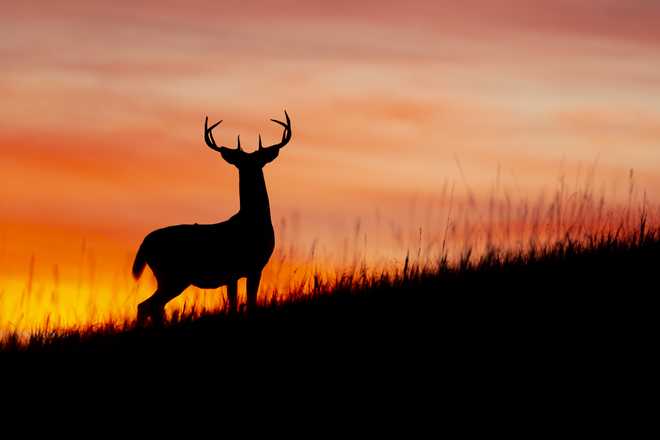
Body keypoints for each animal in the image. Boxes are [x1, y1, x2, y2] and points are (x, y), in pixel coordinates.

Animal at [131, 111, 292, 324]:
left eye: (258, 161)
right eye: (242, 162)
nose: (250, 167)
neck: (252, 221)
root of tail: (144, 243)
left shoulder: (245, 271)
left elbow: (242, 303)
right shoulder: (244, 268)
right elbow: (241, 305)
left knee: (150, 306)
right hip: (173, 275)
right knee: (147, 305)